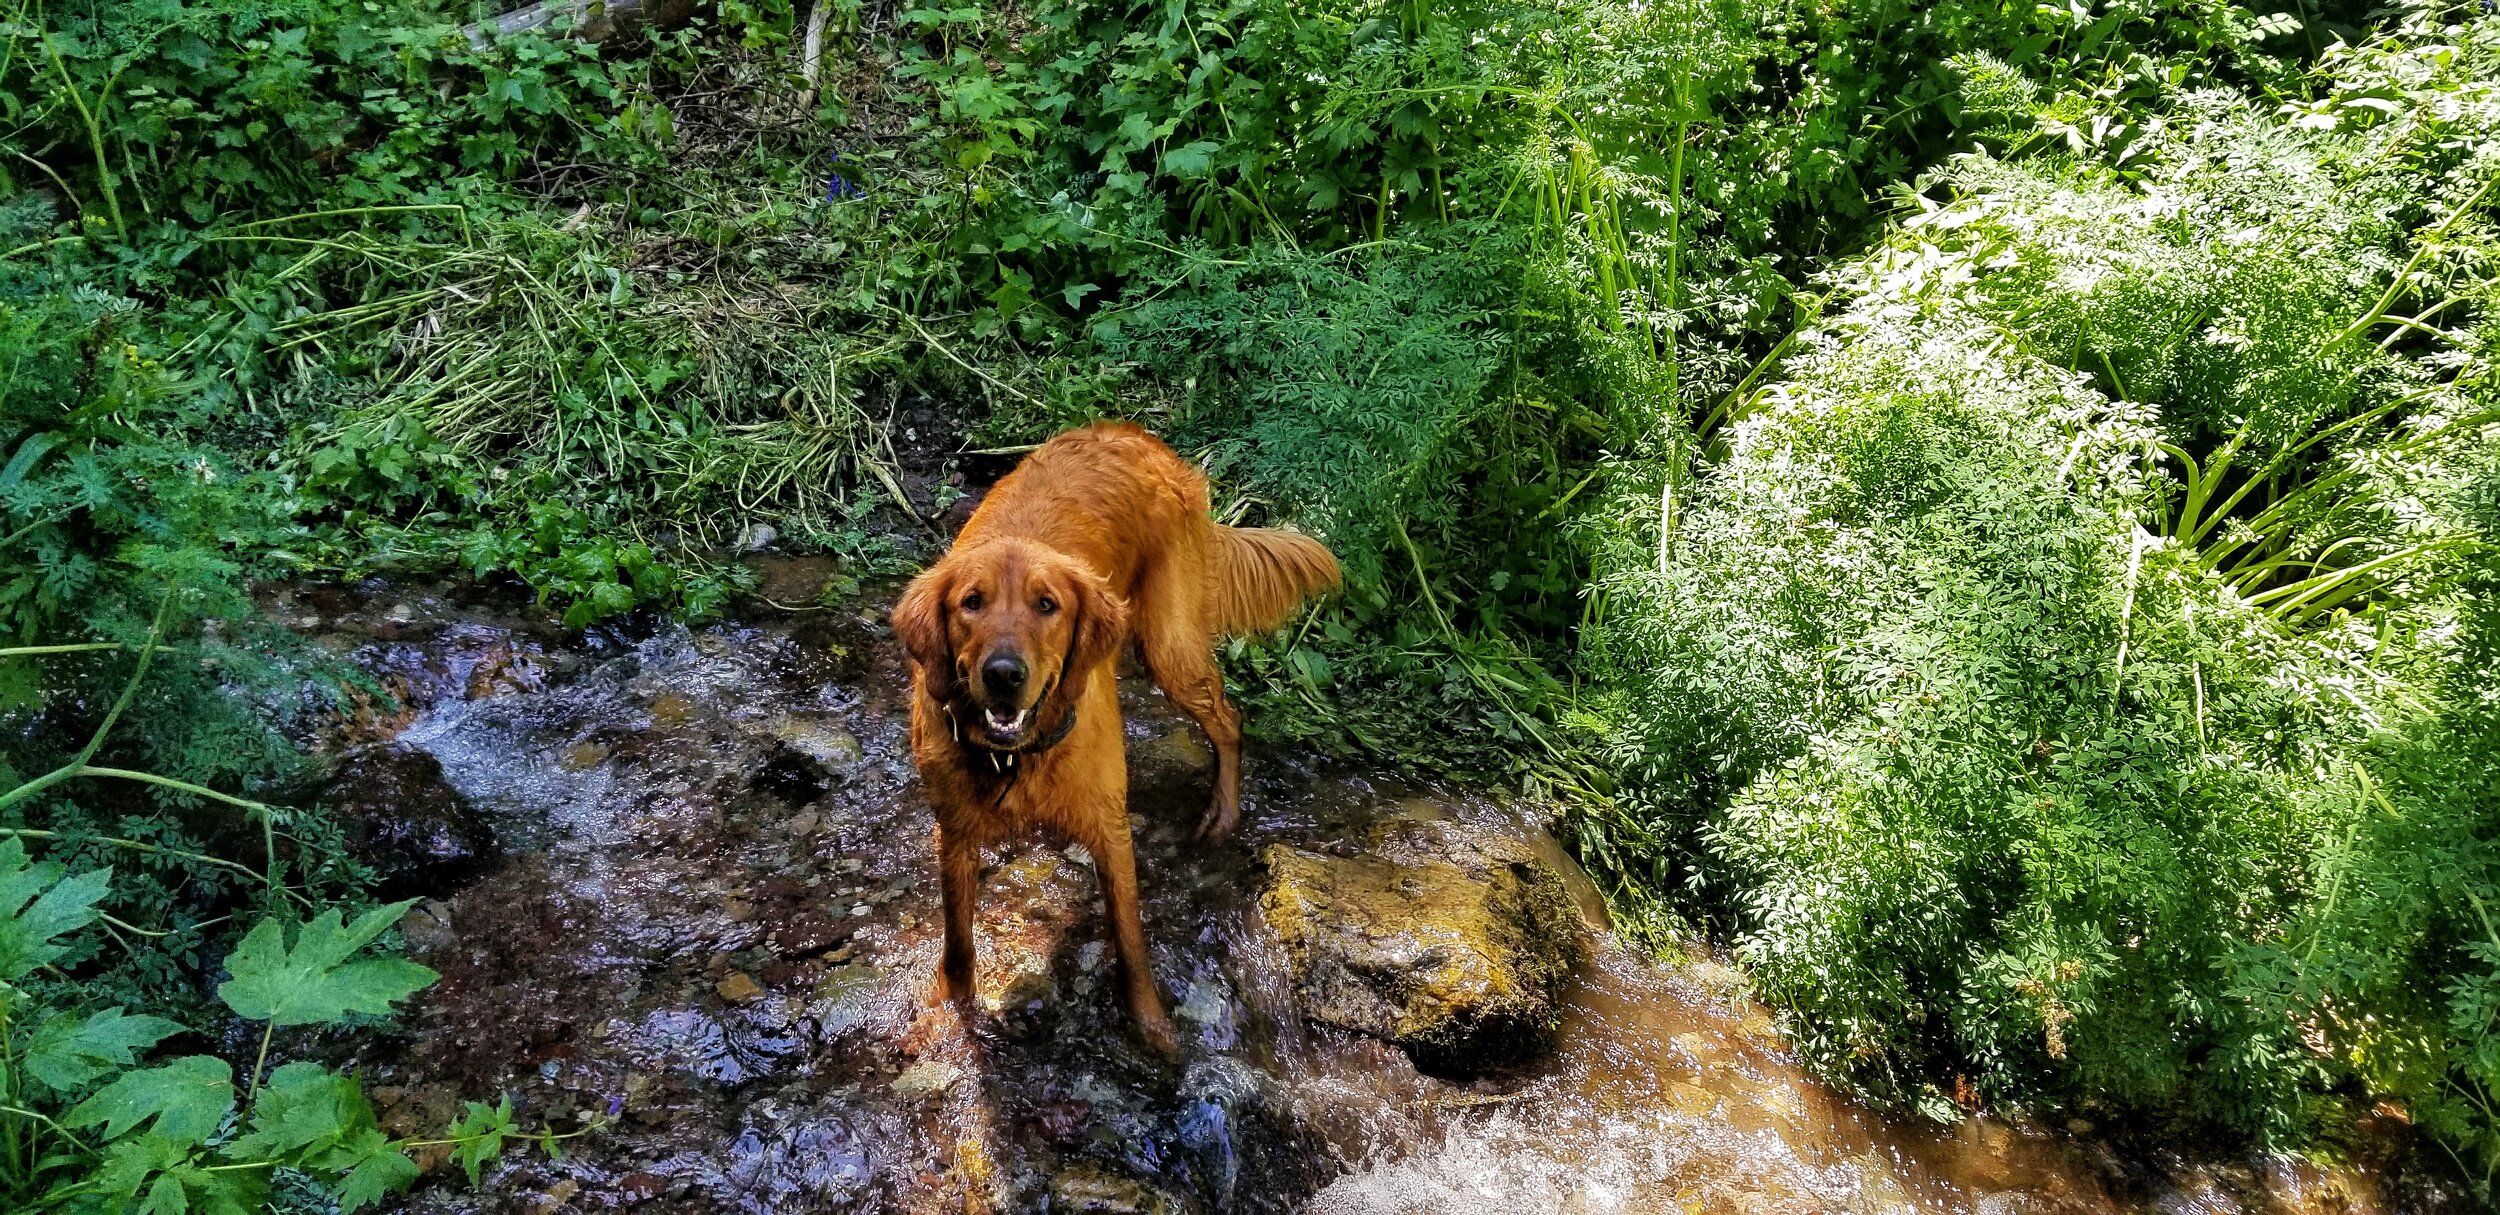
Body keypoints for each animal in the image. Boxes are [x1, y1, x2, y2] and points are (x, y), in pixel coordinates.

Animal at [890, 422, 1340, 1050]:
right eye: (971, 603)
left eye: (1047, 605)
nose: (1003, 674)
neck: (1020, 757)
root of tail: (1138, 437)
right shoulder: (953, 833)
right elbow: (957, 942)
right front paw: (947, 1013)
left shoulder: (1108, 825)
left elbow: (1130, 939)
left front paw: (1154, 1032)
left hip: (1170, 648)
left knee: (1229, 718)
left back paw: (1223, 810)